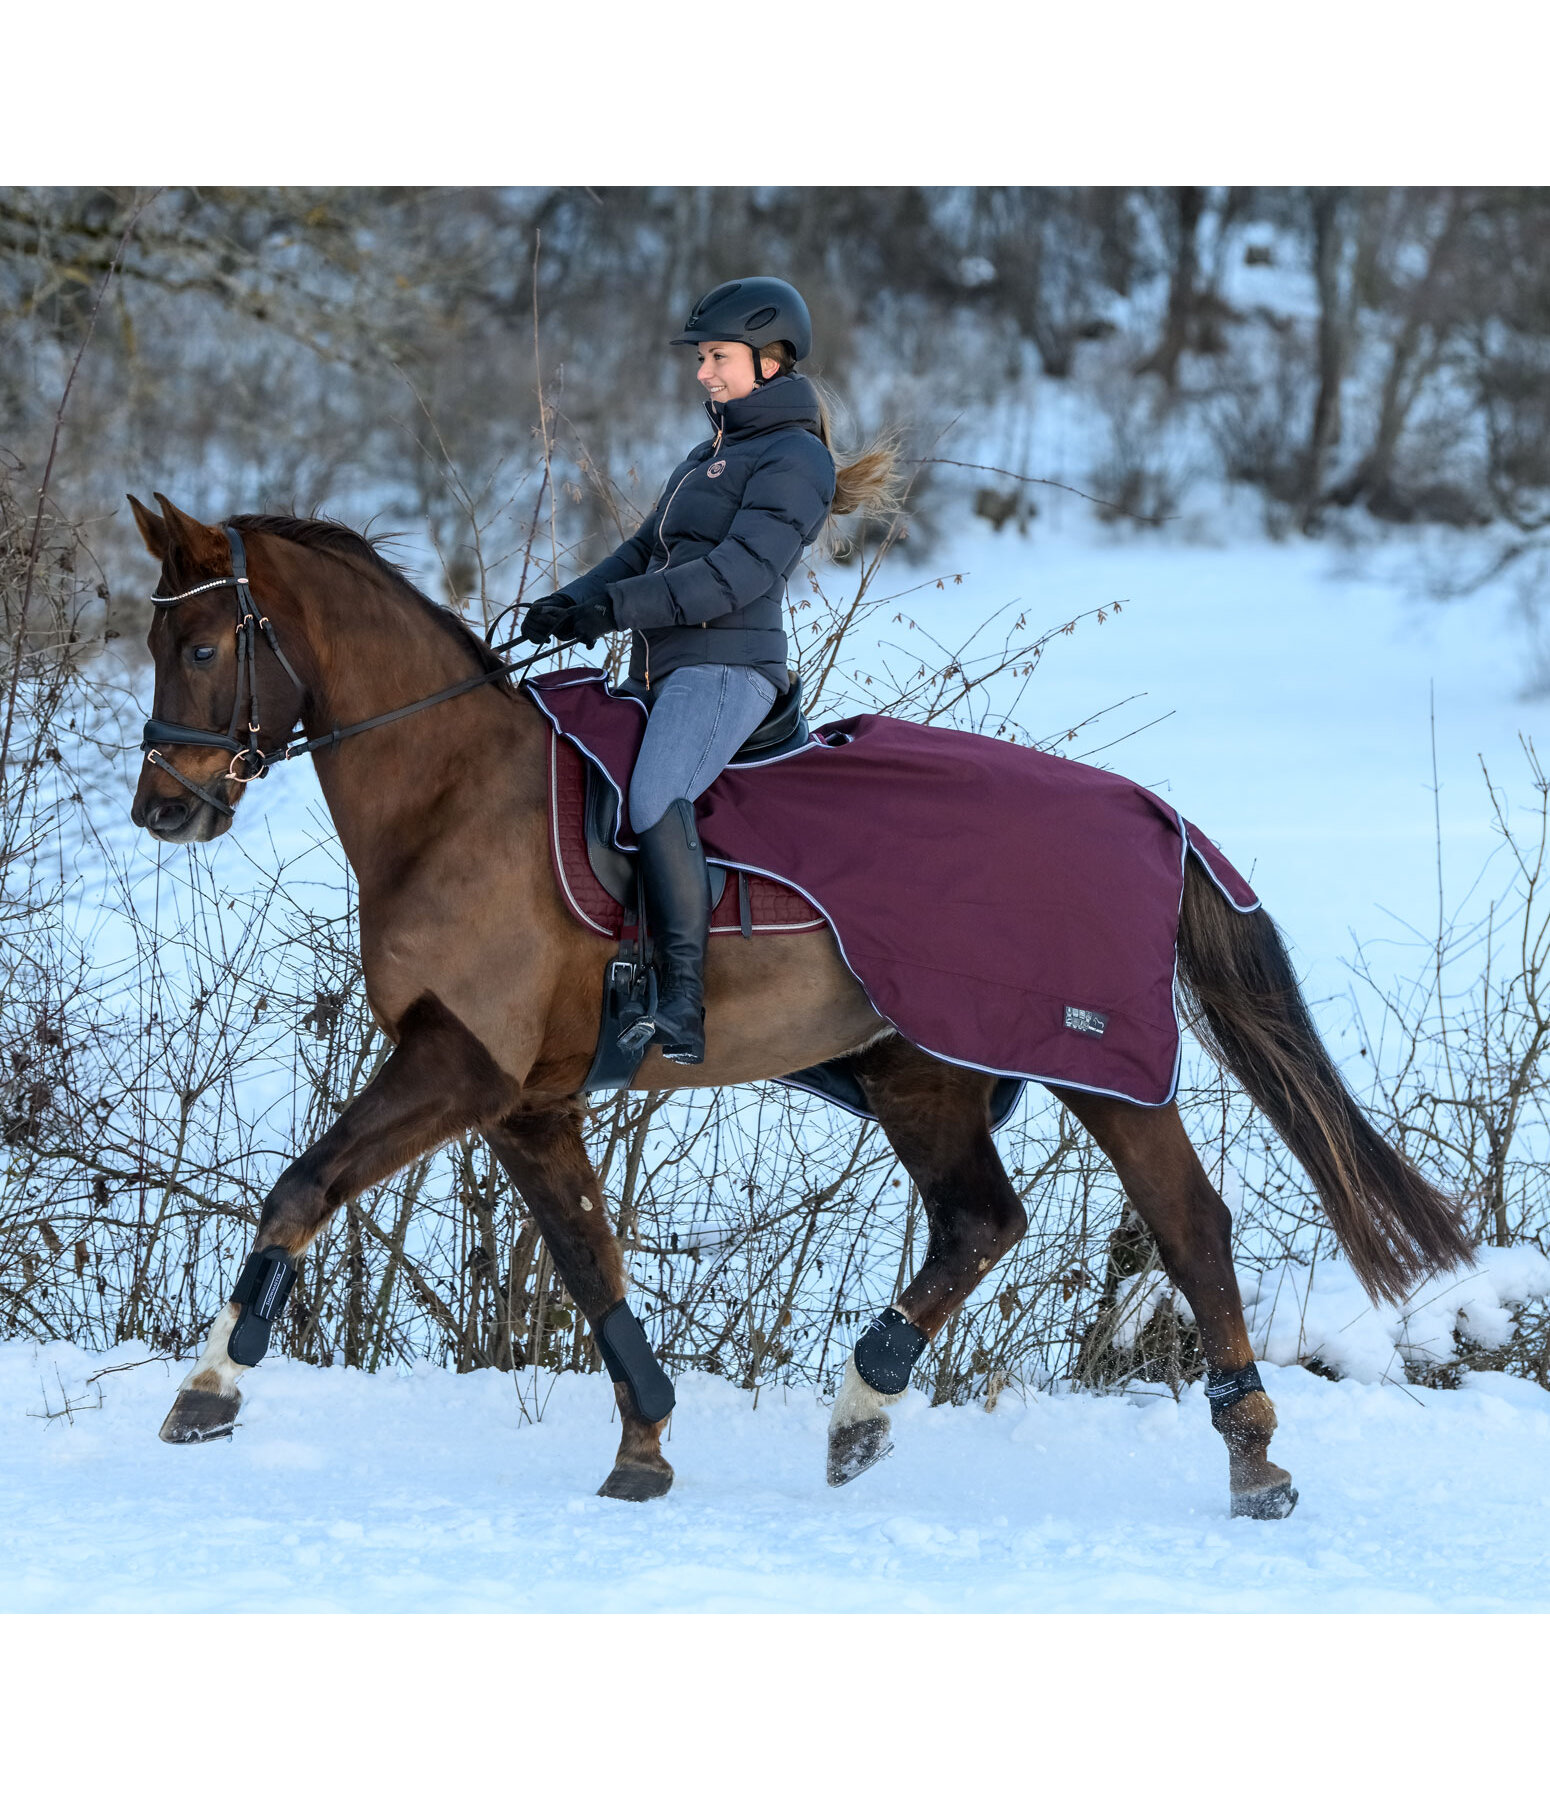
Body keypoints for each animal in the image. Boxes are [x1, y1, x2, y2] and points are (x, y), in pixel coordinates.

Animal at [129, 496, 1461, 1519]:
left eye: (198, 648)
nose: (163, 807)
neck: (454, 794)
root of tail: (1152, 813)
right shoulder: (527, 1101)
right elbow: (587, 1263)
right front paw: (643, 1447)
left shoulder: (459, 1065)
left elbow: (302, 1186)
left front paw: (207, 1390)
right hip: (920, 1073)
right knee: (980, 1220)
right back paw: (863, 1409)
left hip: (1095, 1069)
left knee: (1187, 1227)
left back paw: (1253, 1464)